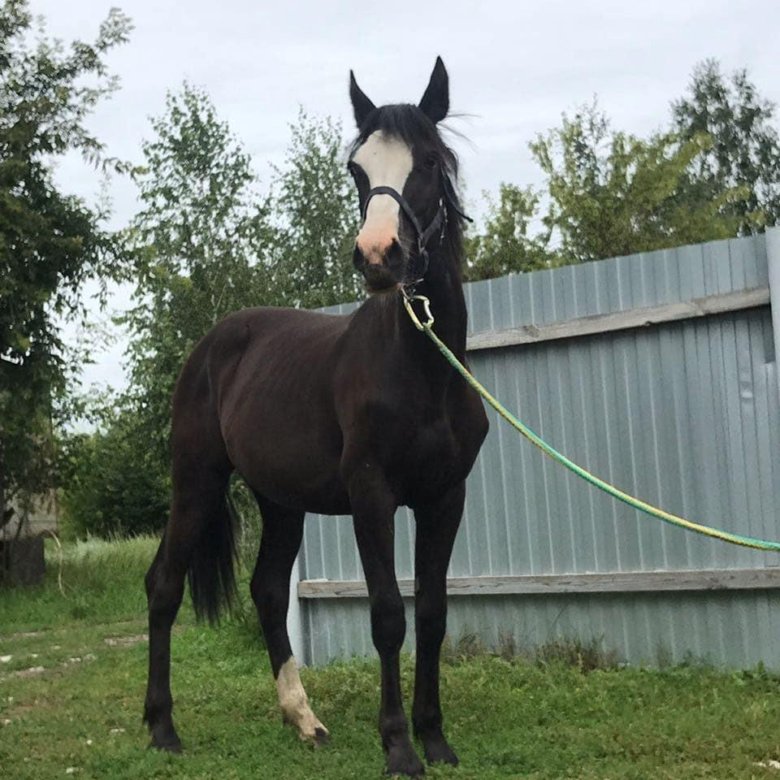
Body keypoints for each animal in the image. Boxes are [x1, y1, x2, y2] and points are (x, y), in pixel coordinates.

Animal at [143, 57, 489, 777]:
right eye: (357, 169)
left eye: (429, 161)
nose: (379, 256)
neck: (425, 370)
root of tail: (211, 346)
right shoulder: (371, 496)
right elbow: (388, 615)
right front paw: (398, 747)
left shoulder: (445, 497)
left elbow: (434, 612)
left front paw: (436, 739)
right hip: (196, 482)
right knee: (164, 585)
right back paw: (162, 728)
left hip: (280, 502)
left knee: (268, 591)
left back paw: (304, 721)